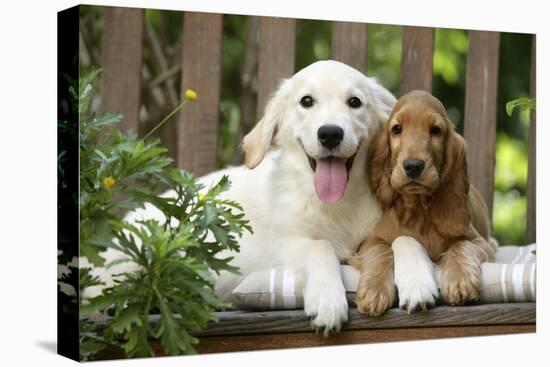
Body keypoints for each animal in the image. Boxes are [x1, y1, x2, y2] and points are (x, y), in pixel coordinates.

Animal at [96, 61, 396, 334]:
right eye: (307, 101)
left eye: (355, 102)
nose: (330, 133)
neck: (338, 204)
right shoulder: (282, 244)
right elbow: (321, 247)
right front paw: (328, 300)